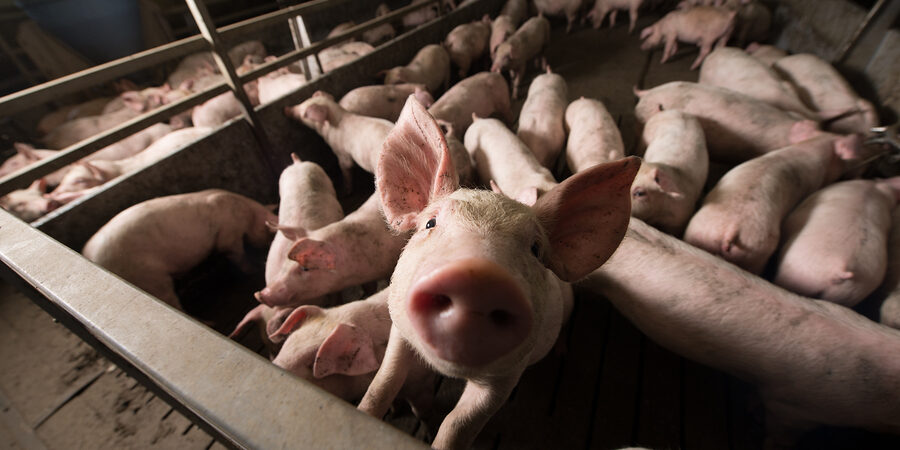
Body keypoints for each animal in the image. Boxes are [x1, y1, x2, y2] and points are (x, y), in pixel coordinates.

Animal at [82, 189, 276, 310]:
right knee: (171, 301)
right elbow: (237, 255)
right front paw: (253, 269)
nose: (267, 256)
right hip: (150, 277)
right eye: (271, 237)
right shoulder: (230, 234)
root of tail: (90, 256)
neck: (248, 214)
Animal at [271, 289, 438, 414]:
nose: (275, 365)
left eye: (311, 361)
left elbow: (421, 412)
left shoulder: (423, 384)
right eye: (288, 342)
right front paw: (394, 410)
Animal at [358, 96, 637, 449]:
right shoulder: (398, 328)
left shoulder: (505, 377)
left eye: (536, 249)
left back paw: (561, 352)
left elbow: (457, 423)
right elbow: (383, 381)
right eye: (430, 223)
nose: (477, 279)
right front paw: (364, 412)